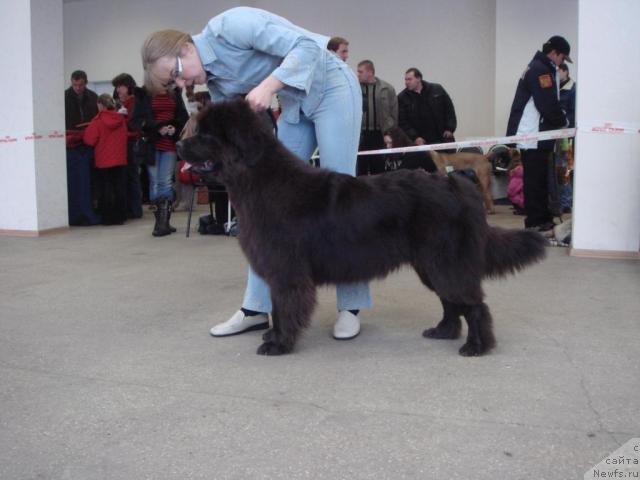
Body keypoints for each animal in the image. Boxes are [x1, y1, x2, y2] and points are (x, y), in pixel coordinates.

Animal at [178, 100, 548, 356]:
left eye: (205, 134)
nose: (179, 146)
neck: (259, 179)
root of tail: (459, 186)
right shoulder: (275, 267)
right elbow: (277, 307)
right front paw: (272, 335)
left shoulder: (286, 270)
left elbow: (285, 306)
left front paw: (279, 344)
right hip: (431, 264)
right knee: (451, 302)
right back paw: (442, 331)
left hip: (444, 262)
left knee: (473, 304)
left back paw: (476, 346)